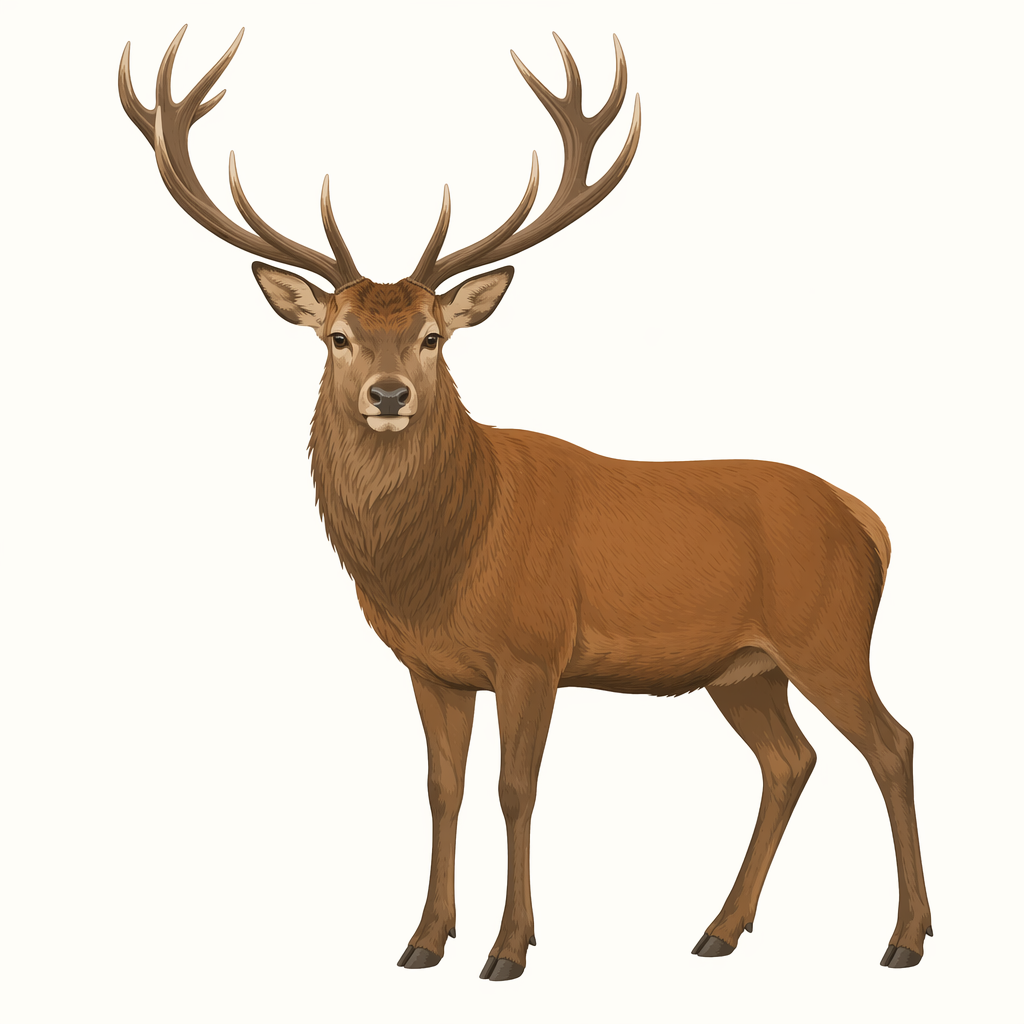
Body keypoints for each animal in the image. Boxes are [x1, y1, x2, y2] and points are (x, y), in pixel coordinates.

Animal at [119, 25, 932, 981]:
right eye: (338, 337)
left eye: (434, 337)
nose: (389, 394)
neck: (443, 558)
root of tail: (870, 523)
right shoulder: (431, 666)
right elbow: (443, 788)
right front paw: (424, 938)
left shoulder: (534, 647)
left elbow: (517, 789)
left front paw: (509, 948)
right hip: (745, 669)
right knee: (790, 760)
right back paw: (720, 929)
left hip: (827, 637)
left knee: (891, 744)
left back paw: (904, 937)